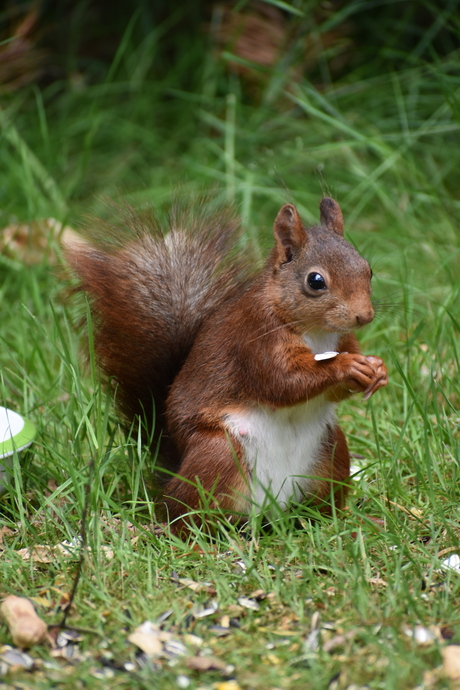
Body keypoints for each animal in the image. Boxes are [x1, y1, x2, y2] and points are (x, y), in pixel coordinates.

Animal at [65, 196, 388, 528]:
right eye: (315, 281)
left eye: (368, 270)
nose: (364, 316)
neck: (318, 333)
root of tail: (270, 513)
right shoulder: (254, 341)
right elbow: (283, 383)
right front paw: (346, 367)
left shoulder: (343, 341)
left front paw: (378, 369)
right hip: (218, 454)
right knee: (182, 511)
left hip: (331, 453)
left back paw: (338, 521)